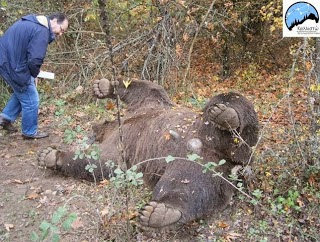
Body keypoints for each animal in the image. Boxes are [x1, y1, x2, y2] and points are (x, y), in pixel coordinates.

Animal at [37, 78, 258, 228]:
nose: (91, 133)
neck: (120, 123)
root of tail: (232, 160)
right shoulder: (123, 146)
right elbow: (102, 163)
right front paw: (50, 155)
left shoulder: (145, 107)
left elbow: (148, 88)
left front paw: (103, 86)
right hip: (203, 168)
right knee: (189, 188)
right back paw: (161, 212)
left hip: (213, 132)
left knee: (233, 101)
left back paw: (226, 114)